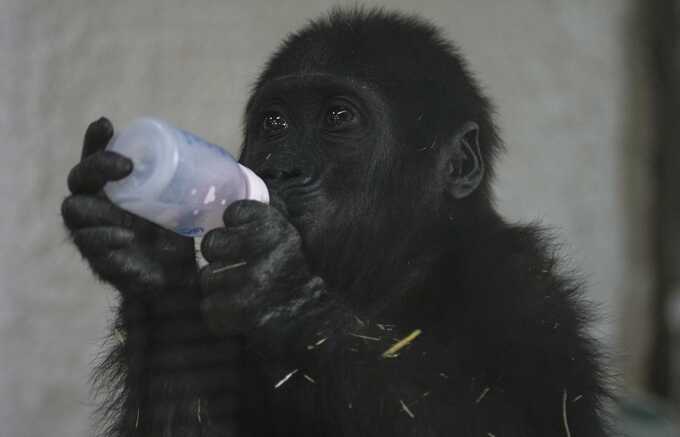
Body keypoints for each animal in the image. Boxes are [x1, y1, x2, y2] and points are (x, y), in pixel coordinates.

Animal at [61, 6, 608, 436]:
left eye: (338, 117)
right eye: (275, 123)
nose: (282, 170)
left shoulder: (522, 287)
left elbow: (514, 423)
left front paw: (281, 293)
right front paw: (150, 255)